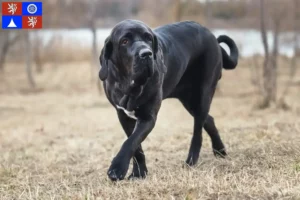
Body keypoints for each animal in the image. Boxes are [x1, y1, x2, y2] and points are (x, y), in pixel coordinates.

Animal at [99, 19, 239, 180]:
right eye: (124, 41)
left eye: (148, 38)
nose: (146, 54)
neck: (130, 85)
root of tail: (212, 37)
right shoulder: (123, 115)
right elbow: (136, 146)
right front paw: (139, 173)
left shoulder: (148, 117)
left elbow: (131, 142)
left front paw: (117, 168)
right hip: (189, 101)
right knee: (209, 119)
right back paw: (219, 150)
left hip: (204, 93)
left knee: (198, 132)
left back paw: (191, 160)